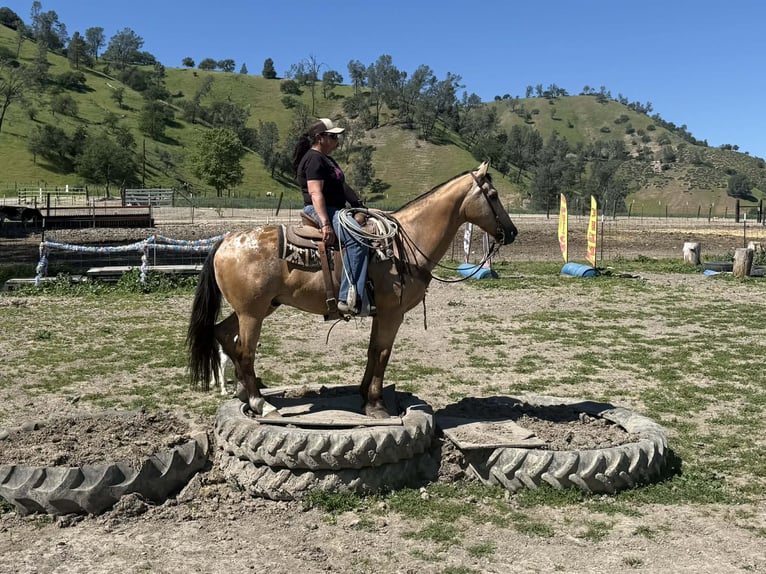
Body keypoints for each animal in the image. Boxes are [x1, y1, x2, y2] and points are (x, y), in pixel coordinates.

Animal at [187, 162, 517, 418]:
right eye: (493, 195)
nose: (512, 232)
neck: (404, 244)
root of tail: (226, 240)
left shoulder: (379, 313)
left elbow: (372, 352)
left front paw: (364, 395)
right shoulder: (392, 313)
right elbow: (383, 353)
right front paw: (377, 404)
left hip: (259, 307)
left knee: (223, 335)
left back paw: (244, 393)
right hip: (252, 313)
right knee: (245, 351)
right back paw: (261, 403)